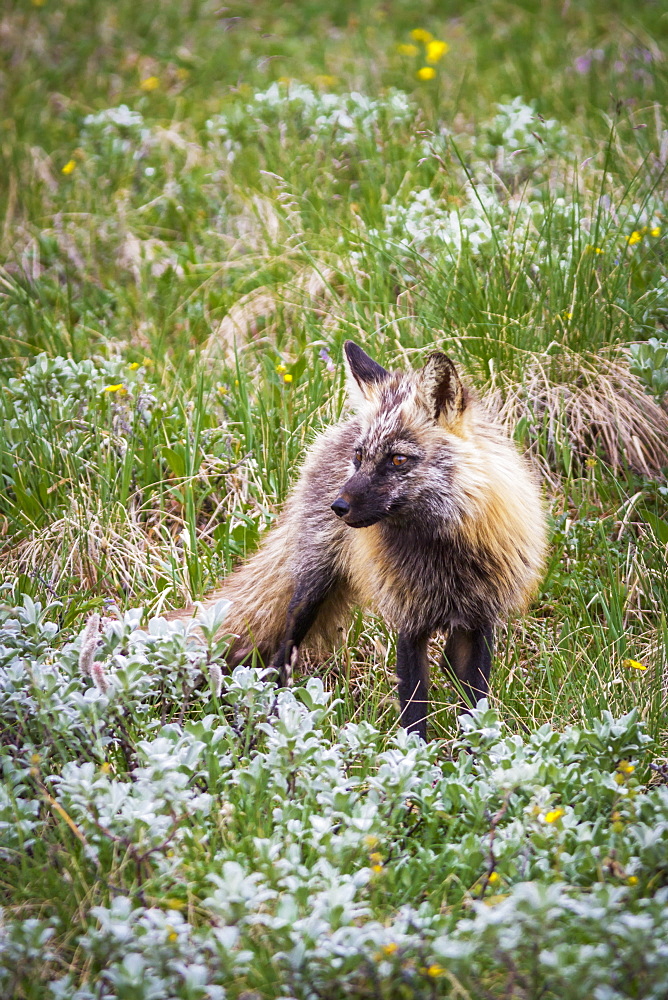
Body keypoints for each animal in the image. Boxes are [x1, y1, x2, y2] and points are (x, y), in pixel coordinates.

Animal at [175, 340, 544, 740]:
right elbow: (414, 713)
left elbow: (475, 709)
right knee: (281, 658)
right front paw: (418, 757)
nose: (338, 506)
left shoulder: (479, 622)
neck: (443, 559)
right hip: (310, 593)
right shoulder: (409, 622)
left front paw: (475, 753)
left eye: (397, 459)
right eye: (359, 456)